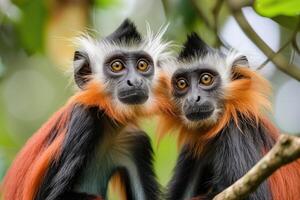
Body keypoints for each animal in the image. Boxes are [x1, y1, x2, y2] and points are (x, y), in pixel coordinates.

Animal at [1, 19, 171, 200]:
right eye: (117, 66)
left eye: (142, 65)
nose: (135, 81)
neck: (109, 126)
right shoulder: (84, 120)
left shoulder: (135, 141)